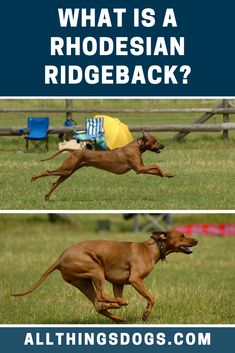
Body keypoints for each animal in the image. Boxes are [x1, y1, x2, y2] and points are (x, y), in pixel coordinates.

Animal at [12, 230, 196, 324]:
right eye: (181, 235)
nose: (196, 240)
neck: (153, 248)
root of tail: (61, 257)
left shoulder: (118, 284)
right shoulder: (136, 280)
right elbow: (152, 297)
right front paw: (145, 314)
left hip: (83, 281)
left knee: (98, 304)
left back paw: (117, 312)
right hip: (95, 270)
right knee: (101, 296)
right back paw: (119, 303)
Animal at [31, 131, 174, 199]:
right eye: (154, 141)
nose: (163, 146)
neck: (137, 146)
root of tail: (75, 150)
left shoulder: (141, 168)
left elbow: (155, 170)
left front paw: (167, 174)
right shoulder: (139, 168)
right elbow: (156, 165)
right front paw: (164, 171)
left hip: (68, 172)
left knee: (55, 182)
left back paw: (47, 196)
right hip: (67, 169)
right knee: (48, 172)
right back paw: (34, 177)